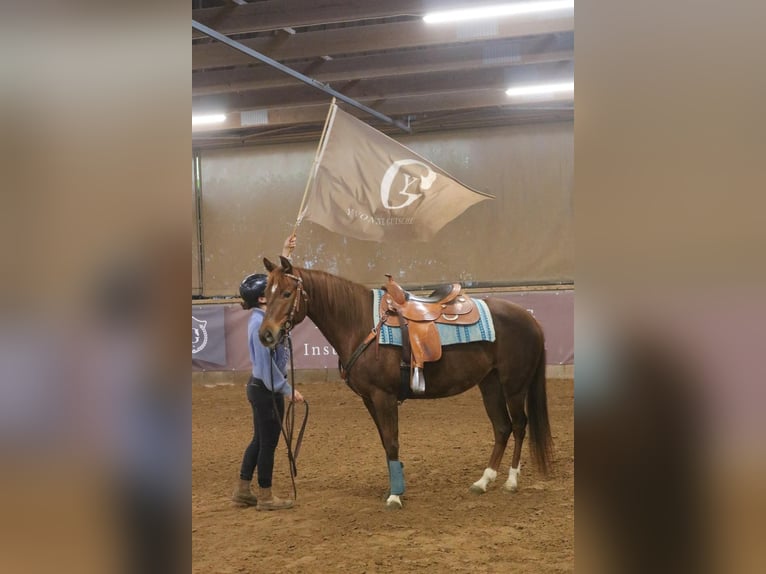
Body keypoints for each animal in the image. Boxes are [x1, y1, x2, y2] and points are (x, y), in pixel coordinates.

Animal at [259, 256, 553, 509]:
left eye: (286, 293)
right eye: (266, 296)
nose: (266, 335)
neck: (360, 323)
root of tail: (530, 319)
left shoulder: (384, 396)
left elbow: (392, 441)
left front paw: (395, 496)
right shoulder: (369, 399)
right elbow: (384, 440)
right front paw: (395, 486)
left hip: (514, 386)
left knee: (519, 425)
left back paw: (511, 482)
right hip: (489, 384)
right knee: (502, 428)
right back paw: (483, 481)